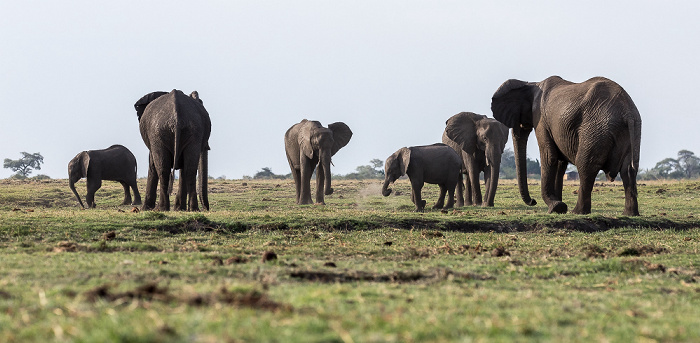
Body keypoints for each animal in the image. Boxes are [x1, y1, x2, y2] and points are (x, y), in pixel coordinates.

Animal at [490, 76, 644, 215]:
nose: (533, 201)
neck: (532, 84)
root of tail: (627, 112)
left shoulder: (541, 119)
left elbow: (549, 157)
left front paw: (556, 208)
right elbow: (560, 163)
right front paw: (559, 207)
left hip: (595, 130)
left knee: (585, 167)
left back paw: (577, 212)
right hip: (633, 131)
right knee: (628, 170)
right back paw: (629, 214)